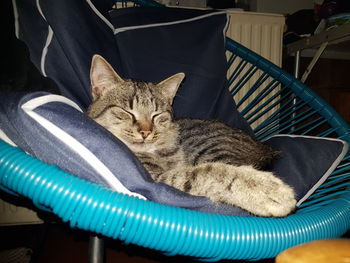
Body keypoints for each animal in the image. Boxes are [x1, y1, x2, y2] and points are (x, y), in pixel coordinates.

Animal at [86, 54, 296, 218]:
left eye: (157, 115)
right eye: (127, 112)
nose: (146, 132)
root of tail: (264, 147)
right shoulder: (159, 180)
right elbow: (206, 173)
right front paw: (263, 189)